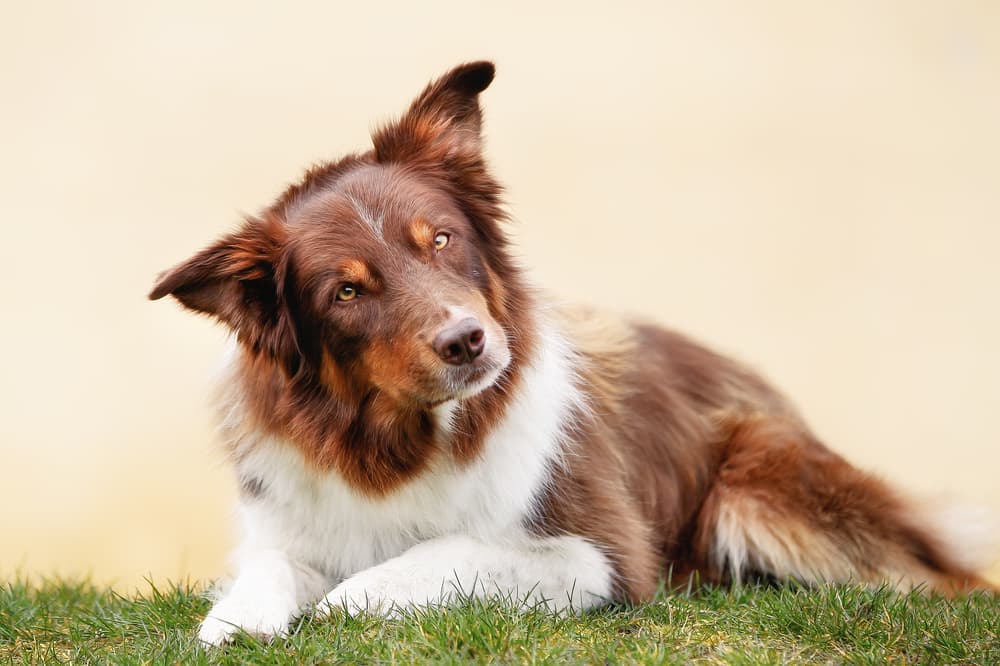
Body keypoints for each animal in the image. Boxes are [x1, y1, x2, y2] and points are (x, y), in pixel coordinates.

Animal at [150, 61, 1000, 644]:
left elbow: (451, 550)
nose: (467, 340)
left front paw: (344, 602)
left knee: (941, 579)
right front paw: (239, 618)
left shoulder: (604, 555)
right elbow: (267, 565)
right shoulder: (287, 519)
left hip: (759, 483)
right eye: (347, 292)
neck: (407, 442)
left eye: (442, 240)